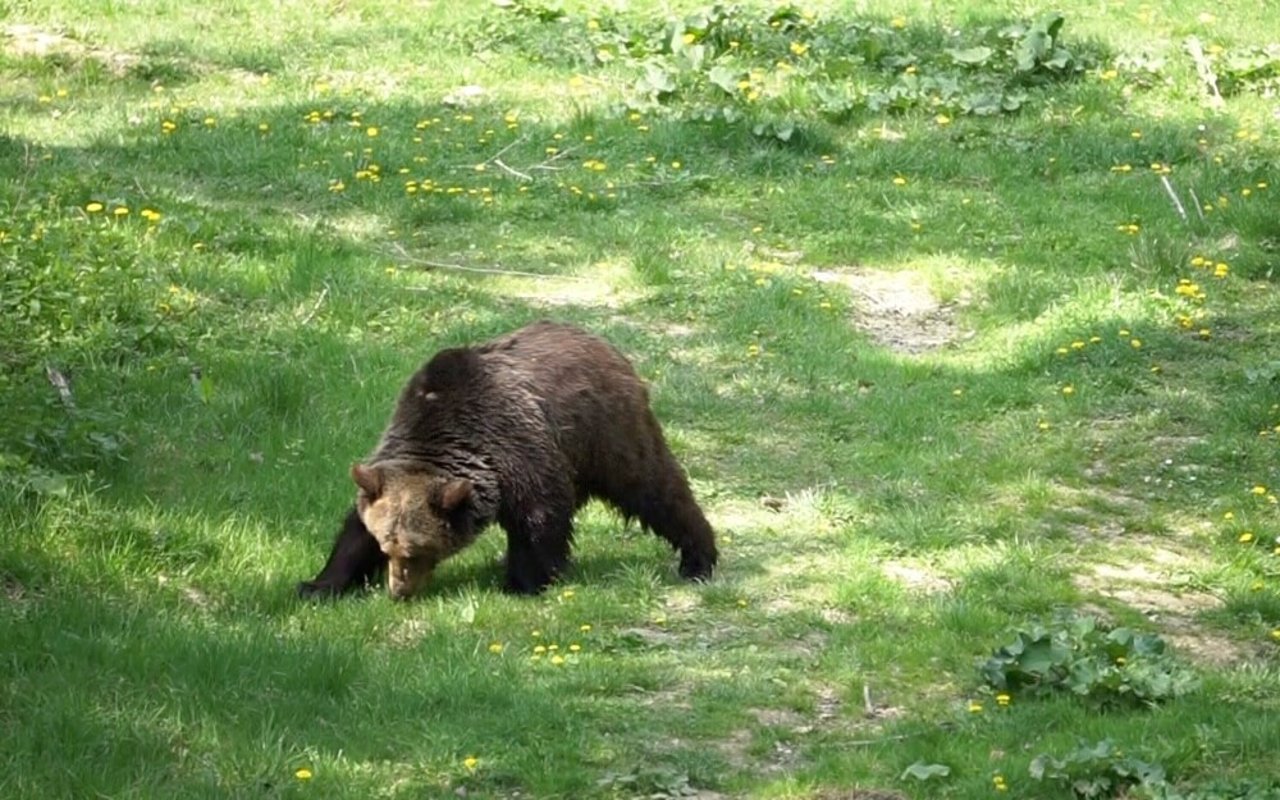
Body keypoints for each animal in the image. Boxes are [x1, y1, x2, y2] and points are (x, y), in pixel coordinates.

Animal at [300, 321, 721, 596]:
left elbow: (539, 516)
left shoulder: (518, 449)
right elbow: (351, 532)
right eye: (386, 544)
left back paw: (698, 558)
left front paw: (523, 583)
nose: (398, 589)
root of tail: (601, 342)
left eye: (417, 549)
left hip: (606, 432)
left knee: (653, 486)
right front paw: (319, 584)